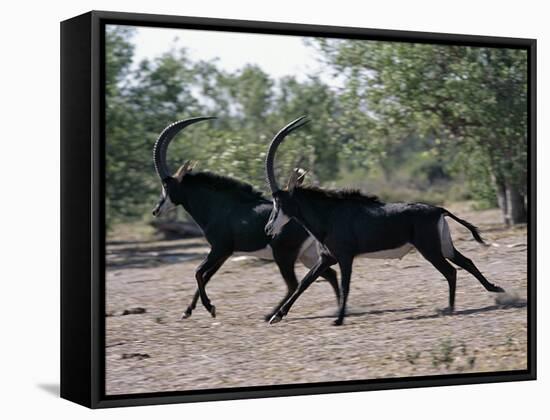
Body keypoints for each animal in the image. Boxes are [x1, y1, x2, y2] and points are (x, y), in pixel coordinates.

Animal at [152, 116, 340, 320]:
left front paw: (210, 307)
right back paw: (338, 308)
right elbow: (206, 276)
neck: (218, 206)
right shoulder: (225, 253)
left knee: (293, 284)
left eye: (166, 186)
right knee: (329, 274)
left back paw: (272, 314)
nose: (156, 210)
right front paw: (189, 310)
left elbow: (198, 272)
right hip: (307, 255)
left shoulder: (219, 248)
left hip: (283, 255)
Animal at [266, 116, 506, 326]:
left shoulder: (345, 257)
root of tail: (439, 209)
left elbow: (344, 285)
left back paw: (451, 307)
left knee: (451, 271)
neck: (328, 215)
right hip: (443, 246)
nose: (268, 228)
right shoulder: (327, 258)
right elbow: (304, 283)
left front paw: (339, 320)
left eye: (279, 202)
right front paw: (277, 316)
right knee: (466, 262)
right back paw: (494, 289)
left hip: (430, 249)